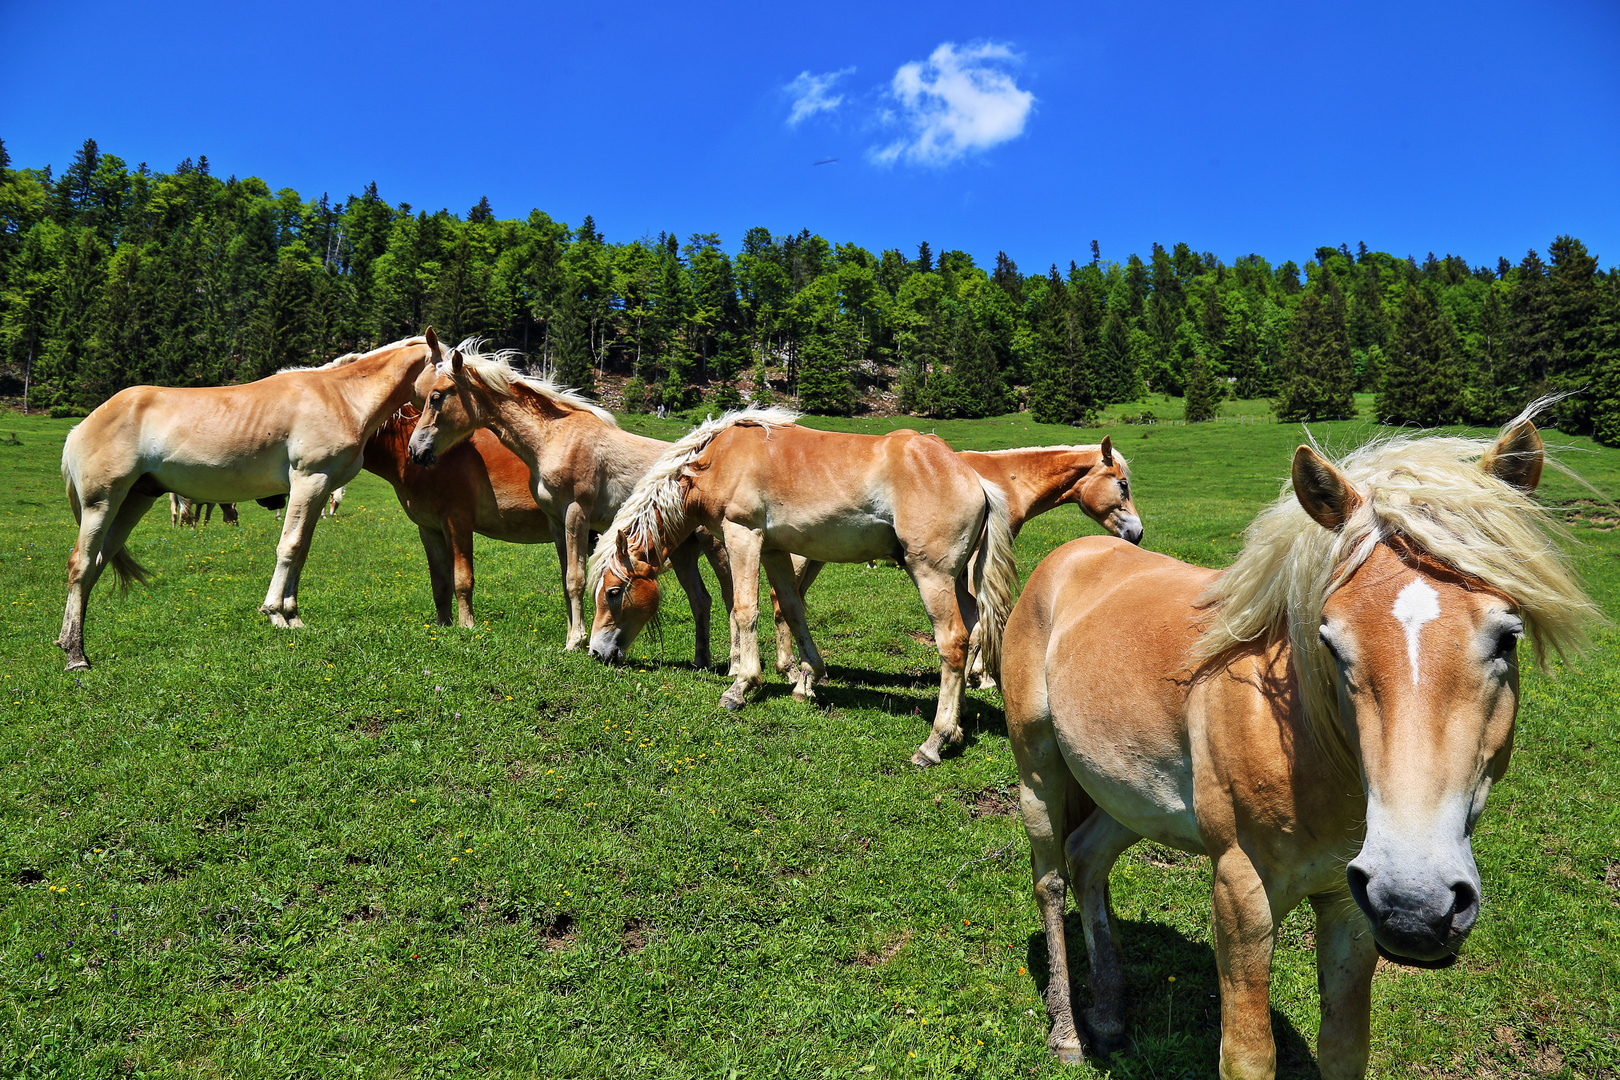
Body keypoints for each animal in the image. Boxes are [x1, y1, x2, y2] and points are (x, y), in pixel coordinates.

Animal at [57, 331, 450, 667]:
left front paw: (293, 616)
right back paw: (76, 655)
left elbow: (301, 550)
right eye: (447, 385)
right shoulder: (308, 481)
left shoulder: (319, 490)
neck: (341, 398)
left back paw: (70, 642)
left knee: (96, 565)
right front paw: (275, 613)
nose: (425, 450)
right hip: (101, 504)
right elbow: (289, 547)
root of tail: (81, 427)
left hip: (134, 501)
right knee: (81, 564)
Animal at [401, 346, 732, 667]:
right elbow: (565, 580)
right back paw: (701, 660)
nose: (415, 450)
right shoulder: (556, 522)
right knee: (701, 599)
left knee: (730, 595)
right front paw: (574, 637)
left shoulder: (577, 514)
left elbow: (576, 578)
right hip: (681, 550)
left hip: (714, 545)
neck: (554, 438)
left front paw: (575, 641)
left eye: (436, 396)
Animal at [583, 408, 1010, 767]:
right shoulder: (774, 549)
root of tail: (975, 480)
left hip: (931, 575)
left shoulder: (743, 536)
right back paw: (957, 725)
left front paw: (741, 686)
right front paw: (807, 680)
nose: (595, 652)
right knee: (974, 630)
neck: (718, 460)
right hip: (956, 581)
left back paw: (935, 741)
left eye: (614, 592)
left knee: (953, 642)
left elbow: (744, 610)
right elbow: (791, 609)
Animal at [771, 440, 1140, 689]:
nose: (1137, 533)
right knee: (781, 604)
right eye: (1122, 485)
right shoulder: (977, 563)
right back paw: (789, 670)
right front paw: (982, 676)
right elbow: (983, 619)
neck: (1007, 481)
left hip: (816, 558)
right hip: (801, 558)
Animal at [997, 409, 1594, 1075]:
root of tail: (1069, 555)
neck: (1303, 753)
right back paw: (1068, 1032)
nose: (1416, 903)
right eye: (1329, 641)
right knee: (1051, 880)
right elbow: (1248, 1054)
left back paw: (1106, 1017)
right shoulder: (1241, 896)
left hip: (1124, 796)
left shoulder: (1350, 908)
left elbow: (1343, 1048)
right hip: (1039, 772)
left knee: (1087, 860)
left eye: (1507, 637)